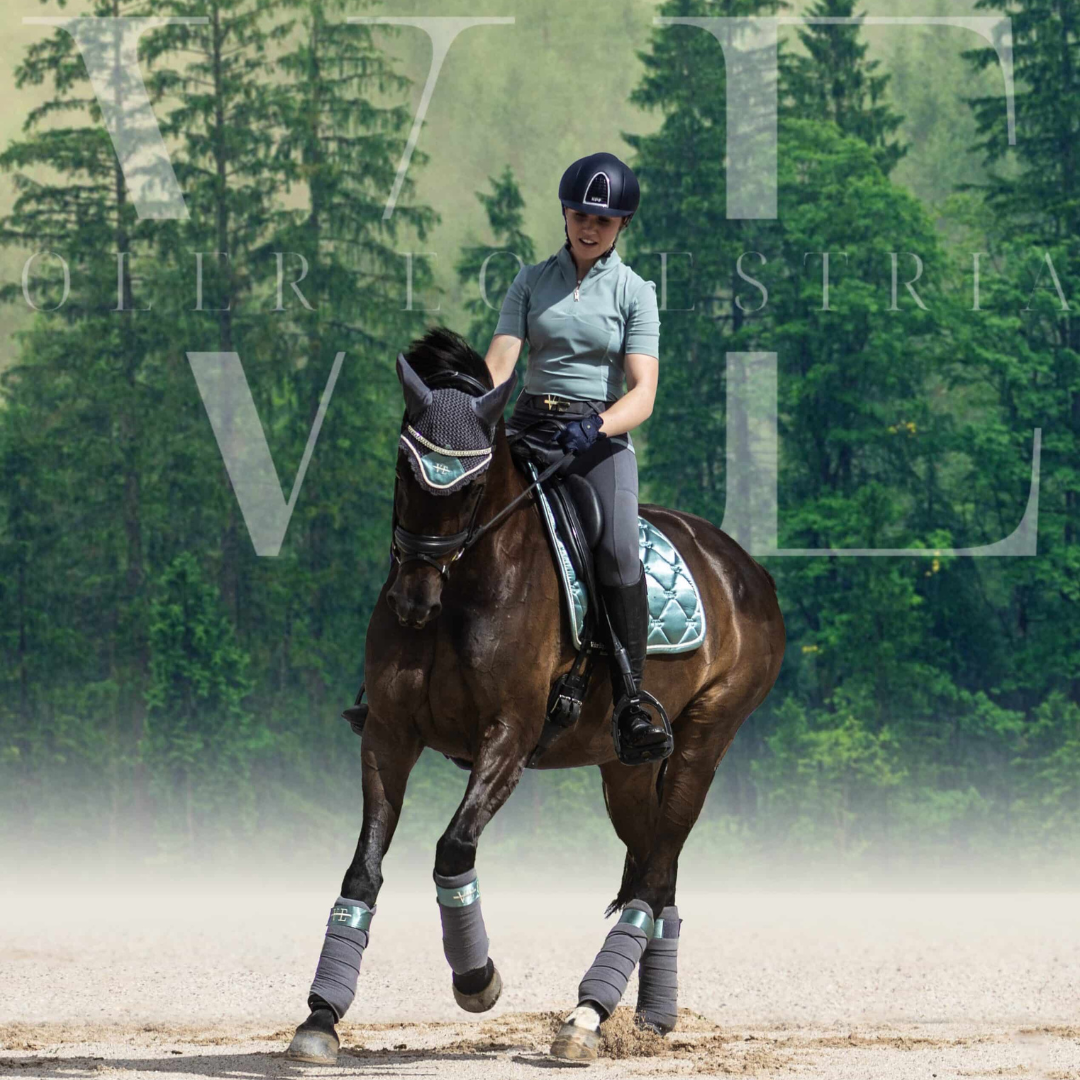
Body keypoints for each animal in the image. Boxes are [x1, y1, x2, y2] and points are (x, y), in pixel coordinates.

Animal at [286, 325, 785, 1064]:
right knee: (655, 869)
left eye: (472, 485)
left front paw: (477, 980)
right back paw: (648, 1018)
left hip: (705, 737)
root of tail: (743, 566)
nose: (413, 602)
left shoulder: (510, 735)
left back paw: (587, 1015)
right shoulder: (388, 735)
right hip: (623, 769)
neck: (463, 589)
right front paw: (320, 1018)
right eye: (405, 467)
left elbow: (453, 849)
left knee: (655, 870)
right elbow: (362, 869)